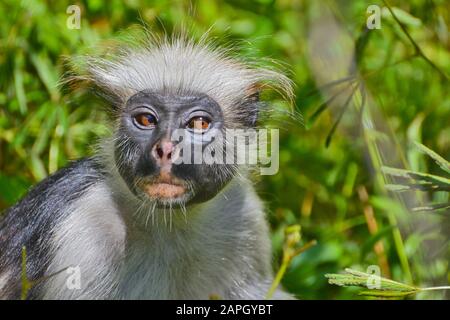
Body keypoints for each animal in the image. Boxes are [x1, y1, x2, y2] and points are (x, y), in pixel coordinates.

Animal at [0, 33, 296, 300]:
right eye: (145, 120)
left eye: (199, 123)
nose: (165, 149)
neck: (171, 224)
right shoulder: (83, 230)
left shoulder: (244, 215)